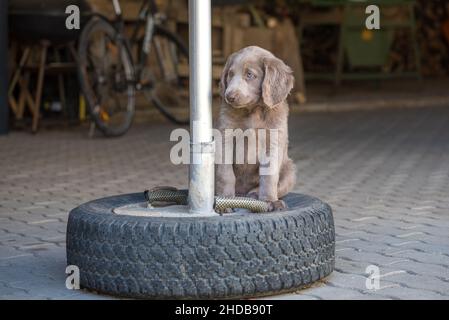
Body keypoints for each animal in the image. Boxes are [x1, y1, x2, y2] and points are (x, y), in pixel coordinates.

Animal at [214, 44, 296, 210]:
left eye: (249, 75)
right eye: (230, 74)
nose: (229, 96)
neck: (252, 111)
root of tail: (242, 193)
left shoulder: (273, 141)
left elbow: (269, 176)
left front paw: (269, 200)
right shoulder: (225, 137)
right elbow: (225, 174)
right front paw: (225, 200)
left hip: (290, 170)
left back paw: (254, 194)